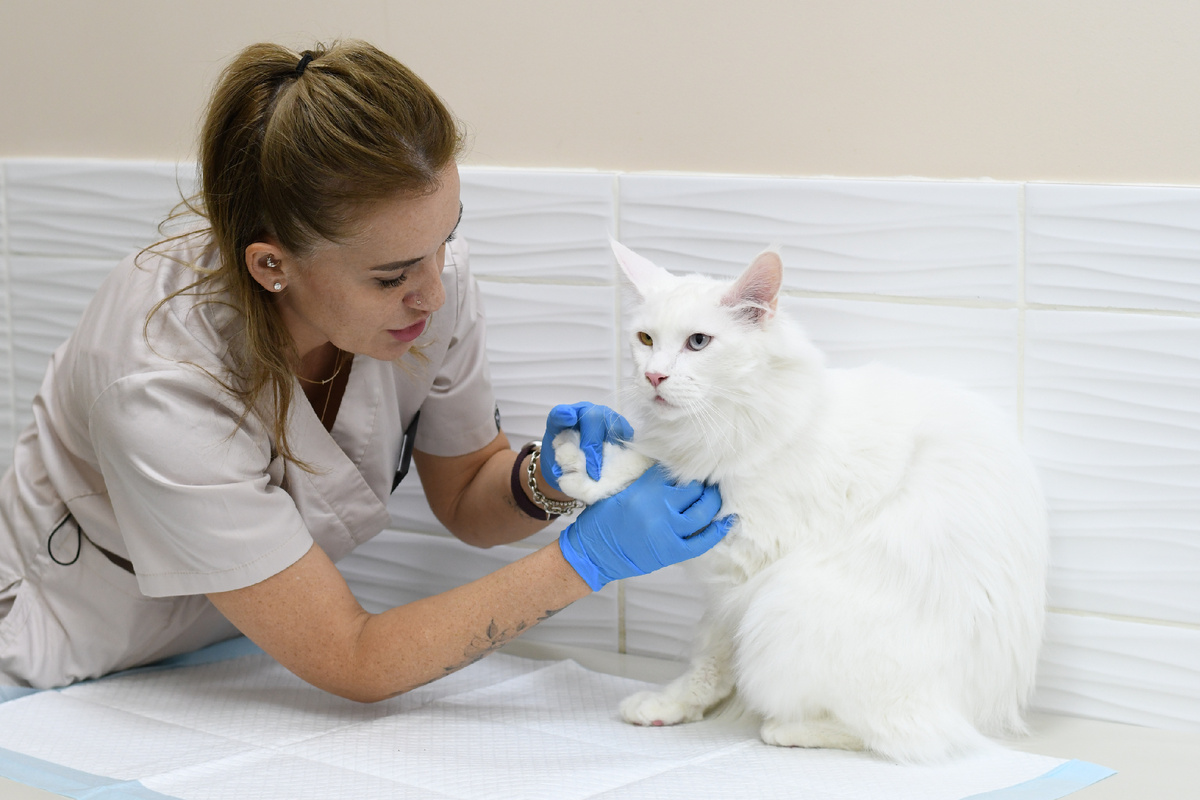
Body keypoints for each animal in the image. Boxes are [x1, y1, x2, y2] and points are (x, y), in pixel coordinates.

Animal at [552, 239, 1049, 763]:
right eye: (645, 338)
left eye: (698, 343)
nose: (653, 376)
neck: (732, 423)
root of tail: (986, 710)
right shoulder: (728, 592)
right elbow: (711, 657)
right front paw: (673, 705)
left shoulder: (752, 545)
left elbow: (656, 464)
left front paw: (589, 466)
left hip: (787, 605)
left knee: (915, 736)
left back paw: (789, 729)